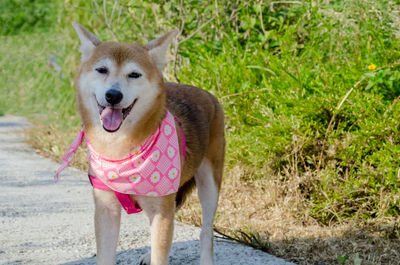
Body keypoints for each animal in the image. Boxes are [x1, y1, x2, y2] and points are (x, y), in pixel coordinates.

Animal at [69, 22, 225, 264]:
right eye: (102, 70)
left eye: (134, 74)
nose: (113, 95)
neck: (121, 152)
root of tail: (207, 94)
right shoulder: (106, 210)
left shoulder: (161, 209)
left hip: (209, 184)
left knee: (206, 232)